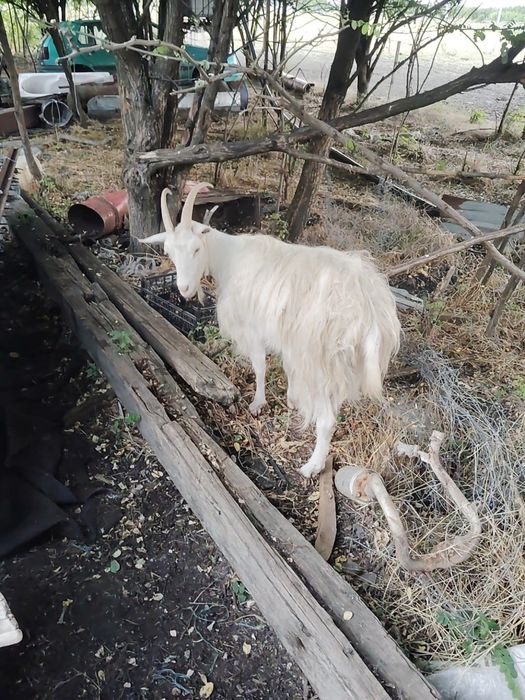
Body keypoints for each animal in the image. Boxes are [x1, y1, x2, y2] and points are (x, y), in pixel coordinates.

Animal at [141, 183, 401, 478]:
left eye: (196, 248)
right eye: (169, 252)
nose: (184, 289)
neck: (230, 257)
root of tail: (369, 308)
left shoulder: (253, 328)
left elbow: (260, 366)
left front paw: (258, 403)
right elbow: (285, 367)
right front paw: (291, 399)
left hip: (319, 360)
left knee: (326, 419)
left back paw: (312, 466)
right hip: (342, 362)